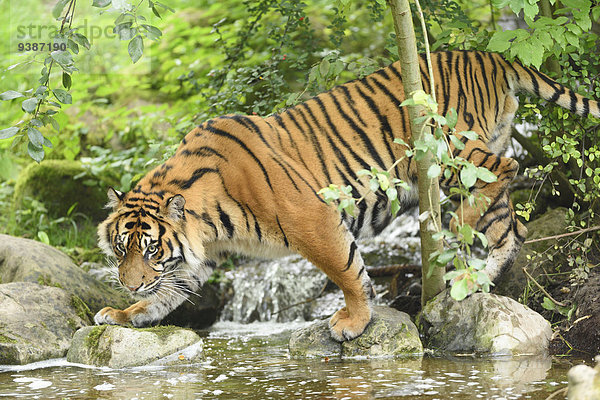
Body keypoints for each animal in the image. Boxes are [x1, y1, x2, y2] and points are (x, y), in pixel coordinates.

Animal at [95, 50, 600, 340]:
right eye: (121, 249)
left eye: (151, 249)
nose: (128, 283)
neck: (207, 220)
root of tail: (490, 54)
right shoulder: (199, 257)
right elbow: (167, 294)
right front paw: (125, 313)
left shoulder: (311, 217)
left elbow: (347, 270)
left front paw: (353, 322)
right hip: (468, 167)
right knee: (510, 230)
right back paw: (470, 280)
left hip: (448, 150)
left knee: (506, 170)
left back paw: (454, 231)